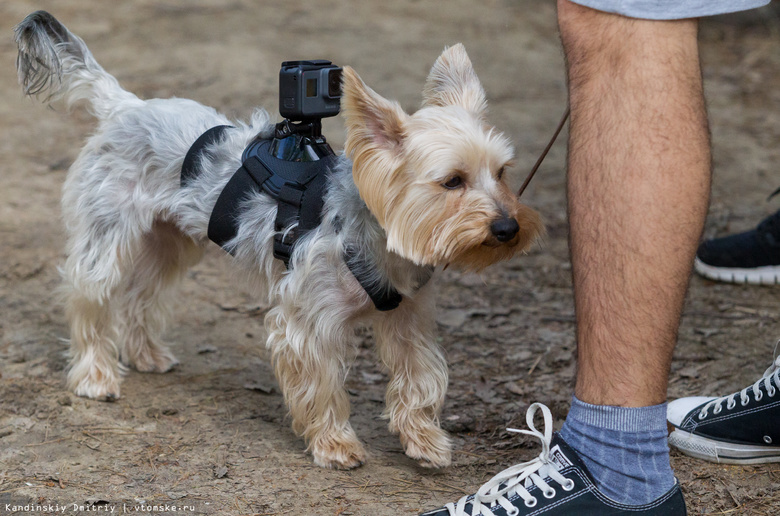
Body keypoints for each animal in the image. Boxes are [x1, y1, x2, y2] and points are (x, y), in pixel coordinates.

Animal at [16, 10, 544, 470]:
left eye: (502, 173)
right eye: (452, 181)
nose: (507, 228)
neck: (377, 233)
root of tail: (125, 107)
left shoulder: (408, 318)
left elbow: (423, 377)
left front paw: (426, 442)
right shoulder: (307, 322)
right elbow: (323, 386)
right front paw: (335, 445)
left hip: (169, 243)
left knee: (140, 293)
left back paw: (146, 355)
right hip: (106, 235)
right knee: (91, 296)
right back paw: (95, 376)